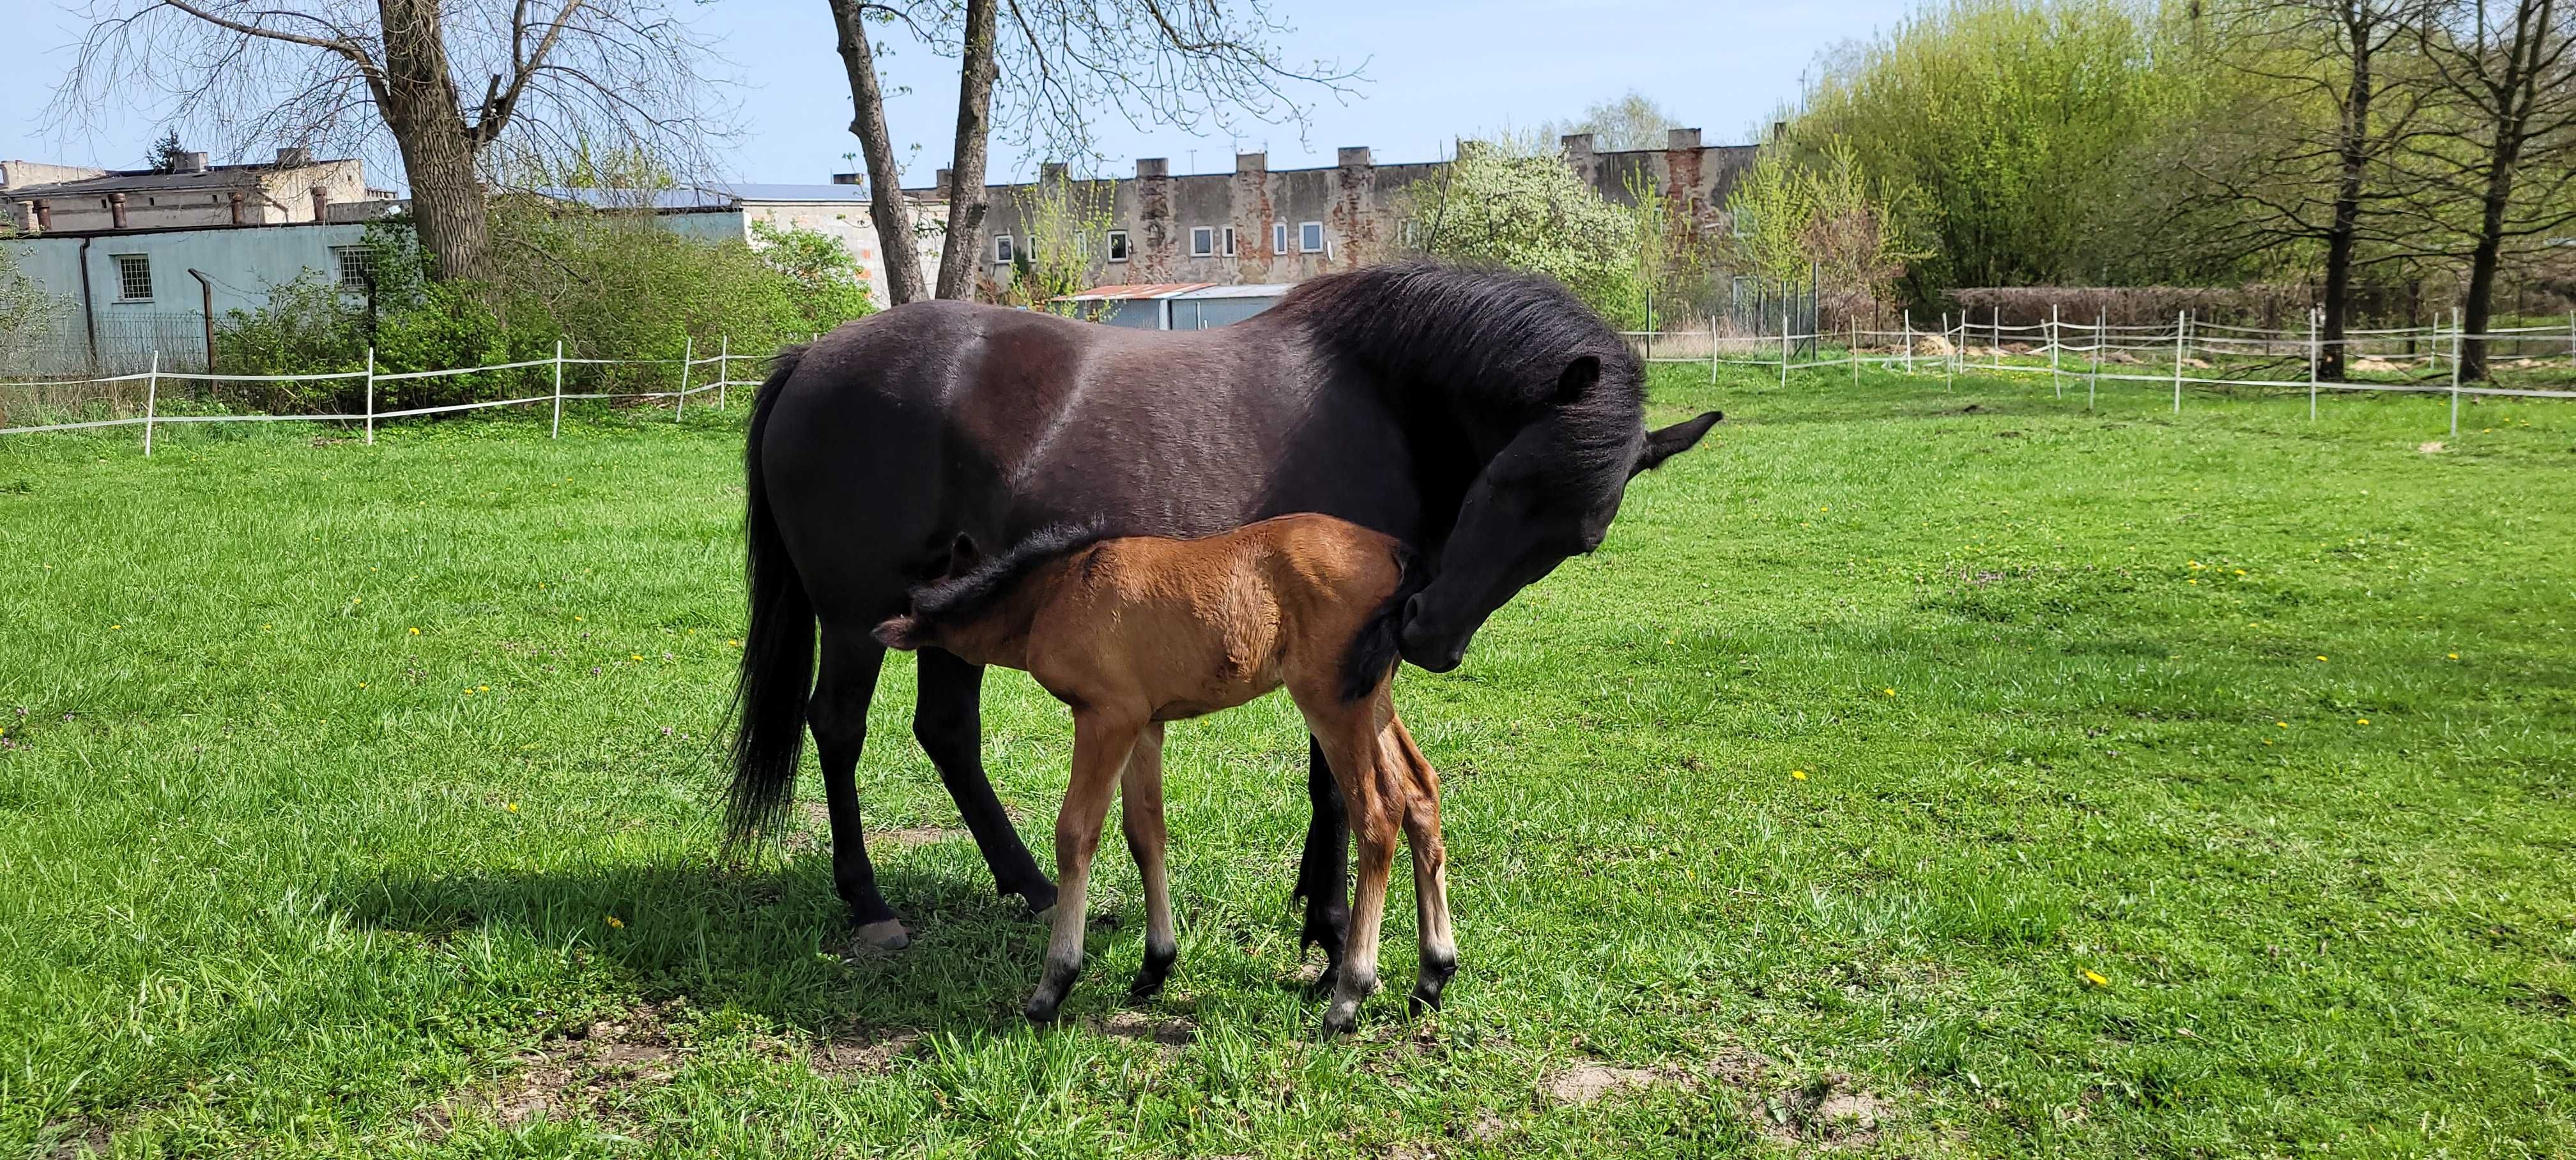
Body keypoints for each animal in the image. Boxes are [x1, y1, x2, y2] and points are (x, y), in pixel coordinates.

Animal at [726, 263, 1710, 959]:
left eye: (1582, 539)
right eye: (1503, 482)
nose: (1433, 636)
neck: (1383, 398)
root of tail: (809, 360)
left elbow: (1331, 779)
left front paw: (1317, 908)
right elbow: (1333, 782)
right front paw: (1331, 922)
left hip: (950, 606)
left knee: (946, 733)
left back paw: (1032, 887)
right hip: (856, 618)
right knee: (838, 727)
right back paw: (871, 906)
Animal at [875, 515, 1463, 1031]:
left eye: (925, 597)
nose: (885, 630)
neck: (1058, 588)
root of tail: (1395, 551)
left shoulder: (1106, 717)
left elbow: (1076, 835)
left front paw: (1053, 984)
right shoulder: (1145, 725)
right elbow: (1146, 833)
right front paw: (1155, 965)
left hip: (1334, 705)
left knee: (1379, 815)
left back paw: (1349, 997)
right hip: (1374, 701)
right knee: (1420, 792)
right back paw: (1433, 974)